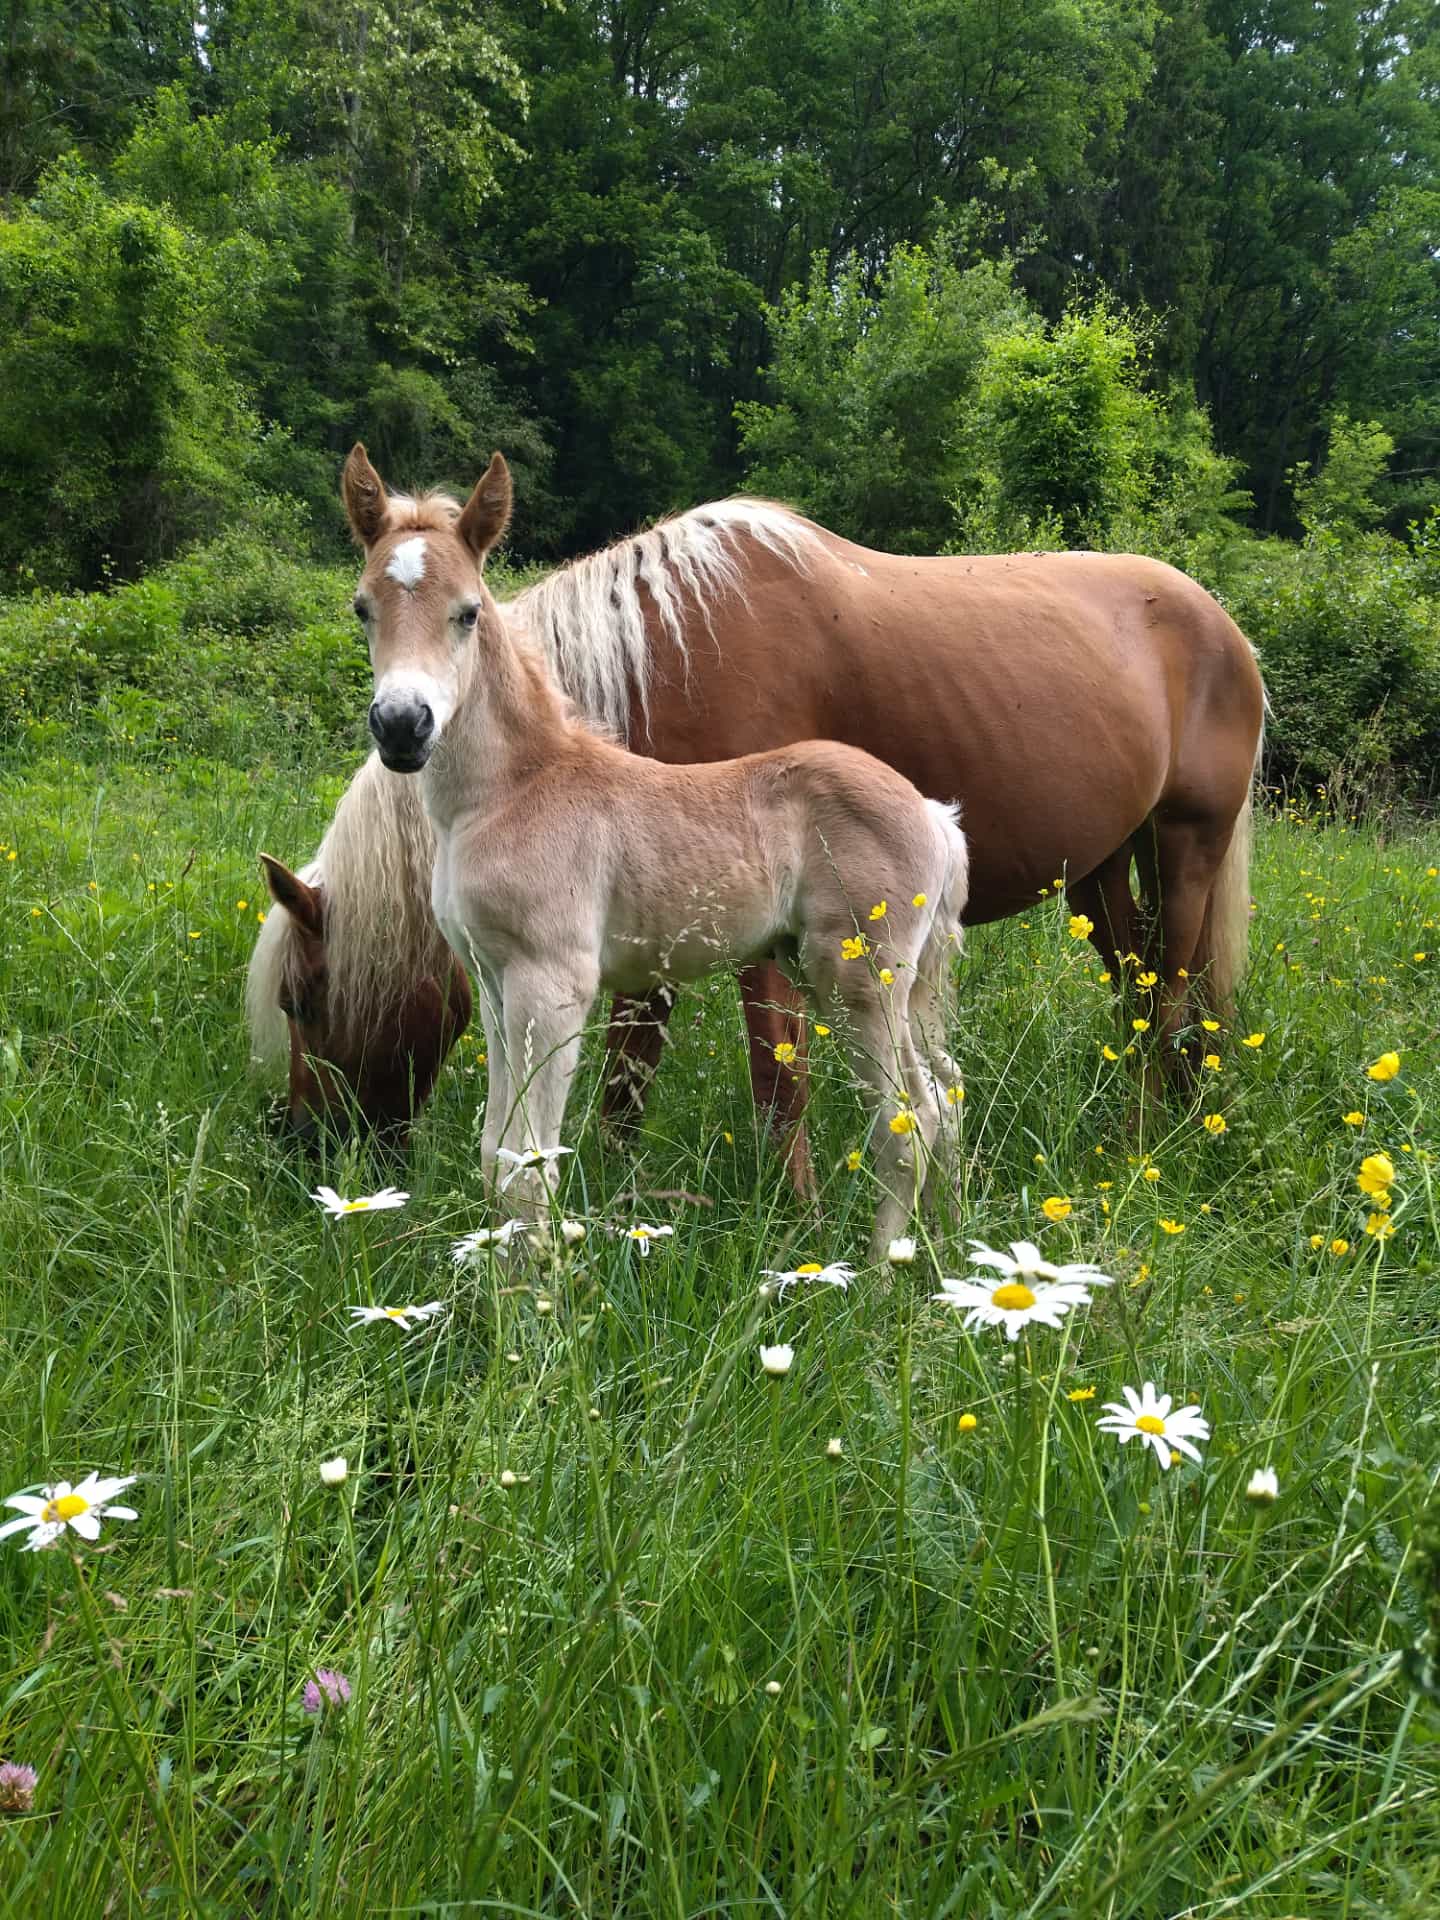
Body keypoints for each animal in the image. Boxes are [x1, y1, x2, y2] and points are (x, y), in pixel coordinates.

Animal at [248, 457, 1264, 1184]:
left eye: (303, 1000)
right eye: (360, 609)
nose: (299, 1146)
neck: (657, 658)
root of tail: (1221, 622)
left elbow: (777, 1080)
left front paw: (794, 1225)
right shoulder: (651, 916)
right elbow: (627, 1081)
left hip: (1187, 845)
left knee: (1172, 994)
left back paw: (1144, 1140)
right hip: (1100, 871)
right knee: (1140, 995)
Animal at [342, 445, 970, 1253]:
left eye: (468, 611)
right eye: (363, 608)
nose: (401, 727)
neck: (513, 790)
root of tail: (933, 814)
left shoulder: (554, 980)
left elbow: (531, 1168)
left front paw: (550, 1287)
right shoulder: (493, 982)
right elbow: (495, 1157)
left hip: (860, 981)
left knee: (908, 1123)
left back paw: (879, 1270)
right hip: (891, 983)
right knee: (943, 1101)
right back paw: (944, 1246)